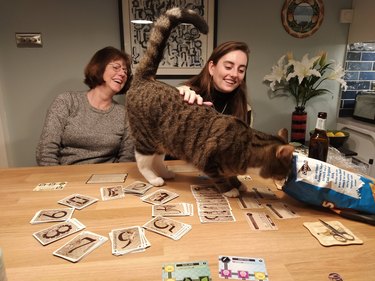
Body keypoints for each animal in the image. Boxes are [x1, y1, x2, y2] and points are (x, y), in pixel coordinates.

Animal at [128, 8, 296, 197]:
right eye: (287, 169)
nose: (286, 179)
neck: (248, 147)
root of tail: (146, 79)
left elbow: (231, 175)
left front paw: (238, 183)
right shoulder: (208, 159)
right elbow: (219, 178)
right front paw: (230, 189)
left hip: (163, 139)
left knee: (157, 158)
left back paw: (165, 172)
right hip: (146, 138)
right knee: (142, 161)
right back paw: (154, 178)